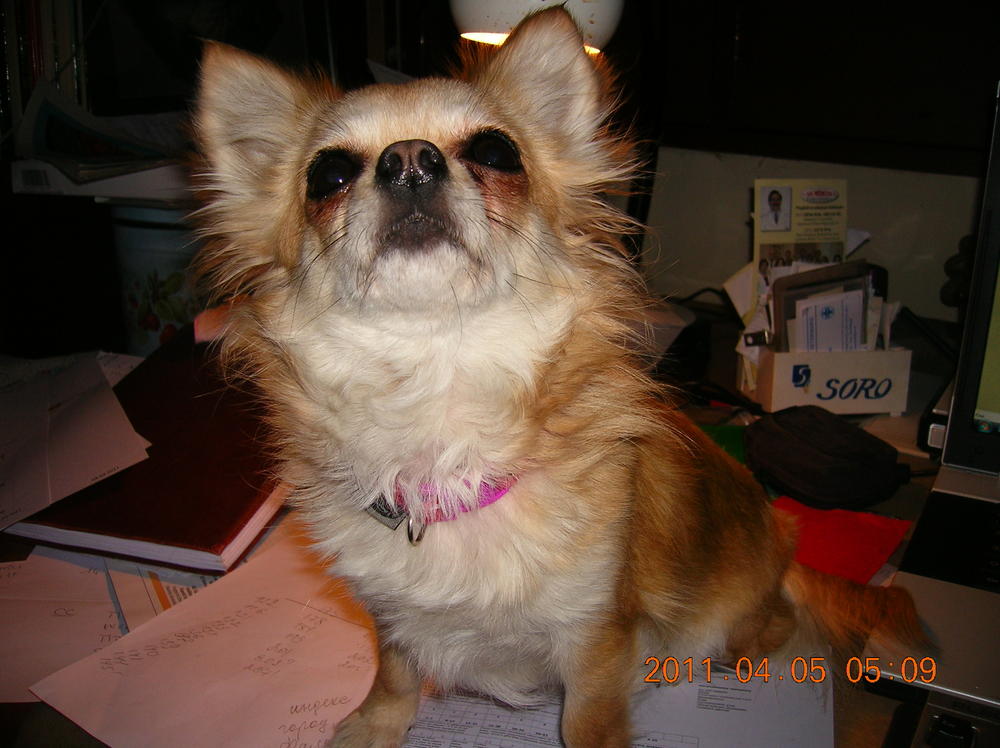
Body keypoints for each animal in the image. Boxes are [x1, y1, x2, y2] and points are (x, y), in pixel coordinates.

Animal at [193, 8, 921, 746]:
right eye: (329, 175)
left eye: (496, 153)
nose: (408, 159)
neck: (440, 386)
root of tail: (785, 546)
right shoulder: (388, 610)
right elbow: (395, 667)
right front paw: (376, 723)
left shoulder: (597, 639)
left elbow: (588, 723)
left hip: (731, 626)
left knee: (766, 631)